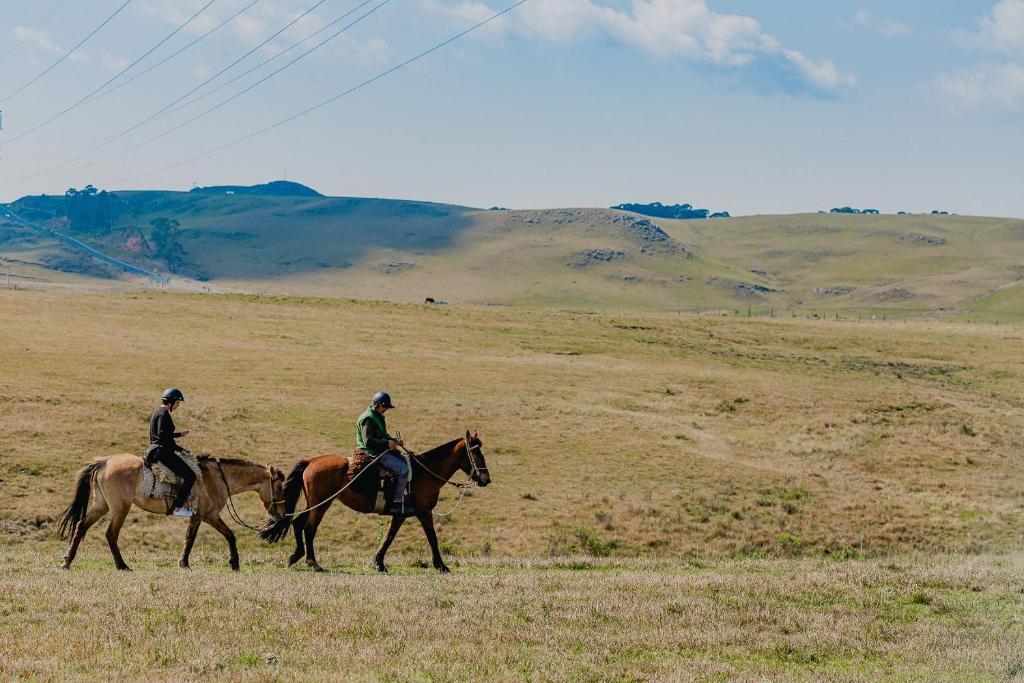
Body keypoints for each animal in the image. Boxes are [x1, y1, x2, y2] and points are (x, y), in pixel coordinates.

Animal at [58, 456, 286, 573]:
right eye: (280, 487)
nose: (281, 516)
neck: (218, 479)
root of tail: (104, 462)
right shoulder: (210, 515)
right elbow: (229, 535)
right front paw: (234, 563)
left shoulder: (197, 516)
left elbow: (189, 539)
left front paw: (183, 563)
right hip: (120, 508)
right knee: (110, 534)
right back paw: (122, 566)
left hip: (102, 505)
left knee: (81, 526)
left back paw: (67, 561)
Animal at [262, 432, 489, 573]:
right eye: (476, 453)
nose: (486, 479)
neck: (425, 472)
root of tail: (311, 461)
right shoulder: (424, 512)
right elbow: (432, 538)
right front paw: (441, 566)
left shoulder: (400, 514)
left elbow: (388, 537)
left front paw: (379, 563)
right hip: (322, 504)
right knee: (309, 528)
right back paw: (313, 562)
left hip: (315, 503)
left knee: (298, 522)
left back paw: (296, 556)